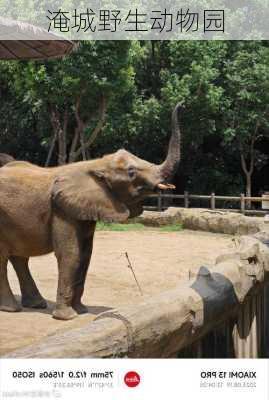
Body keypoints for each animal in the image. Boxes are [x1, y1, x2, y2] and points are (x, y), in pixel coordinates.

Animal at [0, 104, 181, 322]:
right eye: (131, 172)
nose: (181, 105)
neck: (95, 165)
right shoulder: (61, 209)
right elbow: (71, 253)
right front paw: (67, 317)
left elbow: (86, 255)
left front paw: (82, 311)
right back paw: (11, 309)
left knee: (19, 257)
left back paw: (36, 304)